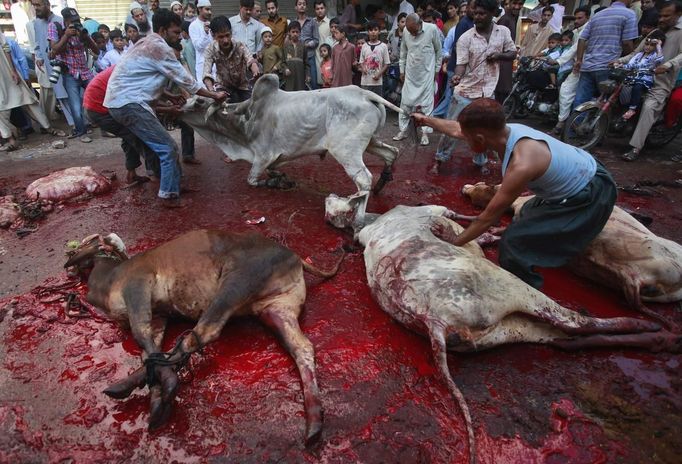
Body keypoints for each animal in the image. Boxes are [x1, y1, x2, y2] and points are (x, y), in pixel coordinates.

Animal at [61, 230, 342, 444]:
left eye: (83, 243)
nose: (69, 260)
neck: (108, 279)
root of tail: (295, 257)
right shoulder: (159, 315)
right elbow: (149, 349)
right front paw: (156, 399)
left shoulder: (138, 285)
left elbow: (142, 336)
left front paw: (163, 388)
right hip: (277, 307)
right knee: (302, 347)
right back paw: (314, 421)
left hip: (237, 281)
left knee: (203, 332)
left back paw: (135, 385)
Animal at [181, 73, 404, 227]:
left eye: (199, 101)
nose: (179, 109)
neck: (245, 122)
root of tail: (366, 94)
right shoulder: (273, 158)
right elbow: (273, 170)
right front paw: (281, 178)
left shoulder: (262, 156)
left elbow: (252, 180)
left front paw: (276, 182)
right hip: (370, 142)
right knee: (392, 153)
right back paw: (382, 184)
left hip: (345, 150)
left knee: (364, 179)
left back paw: (357, 220)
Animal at [350, 205, 676, 464]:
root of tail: (434, 321)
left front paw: (491, 232)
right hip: (513, 289)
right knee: (575, 323)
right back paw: (654, 330)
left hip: (505, 327)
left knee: (564, 339)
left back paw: (660, 340)